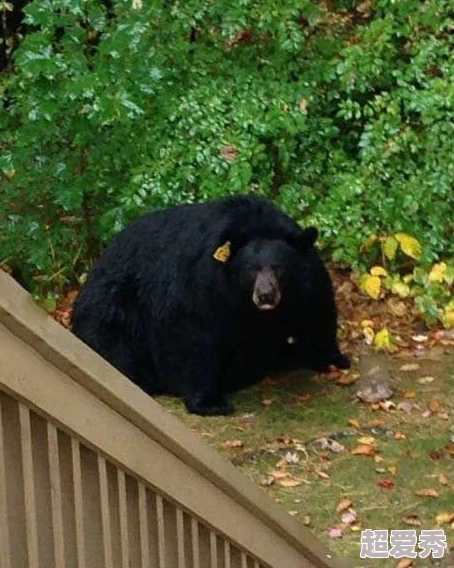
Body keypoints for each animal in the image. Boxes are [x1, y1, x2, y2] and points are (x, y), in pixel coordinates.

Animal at [71, 197, 350, 414]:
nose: (266, 296)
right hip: (114, 305)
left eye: (278, 267)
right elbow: (191, 333)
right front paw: (210, 402)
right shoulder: (202, 284)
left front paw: (334, 357)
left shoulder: (306, 285)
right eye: (252, 269)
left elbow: (317, 313)